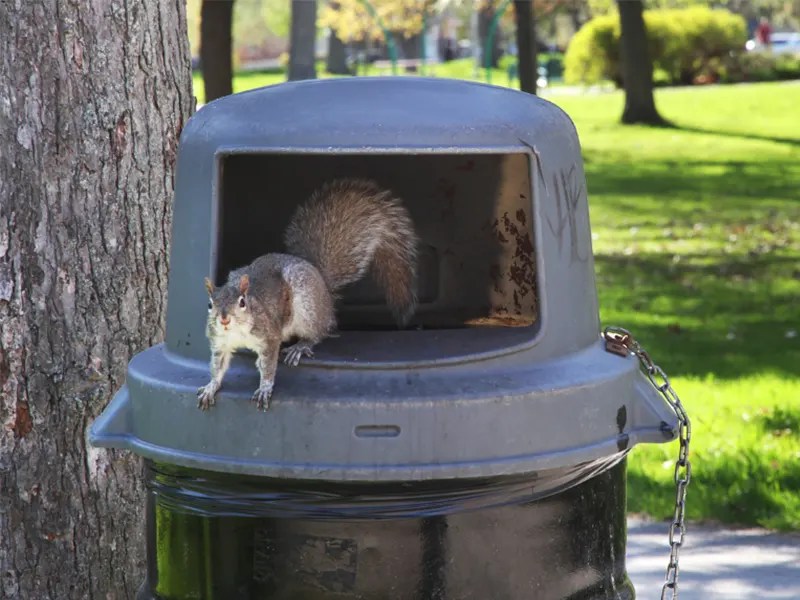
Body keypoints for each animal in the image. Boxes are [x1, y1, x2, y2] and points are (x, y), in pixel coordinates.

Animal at [198, 177, 419, 411]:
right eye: (210, 304)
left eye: (242, 302)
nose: (224, 319)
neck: (236, 331)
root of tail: (324, 289)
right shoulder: (220, 343)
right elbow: (217, 366)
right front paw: (211, 386)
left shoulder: (269, 337)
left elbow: (268, 366)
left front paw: (265, 388)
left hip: (307, 307)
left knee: (319, 332)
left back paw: (301, 346)